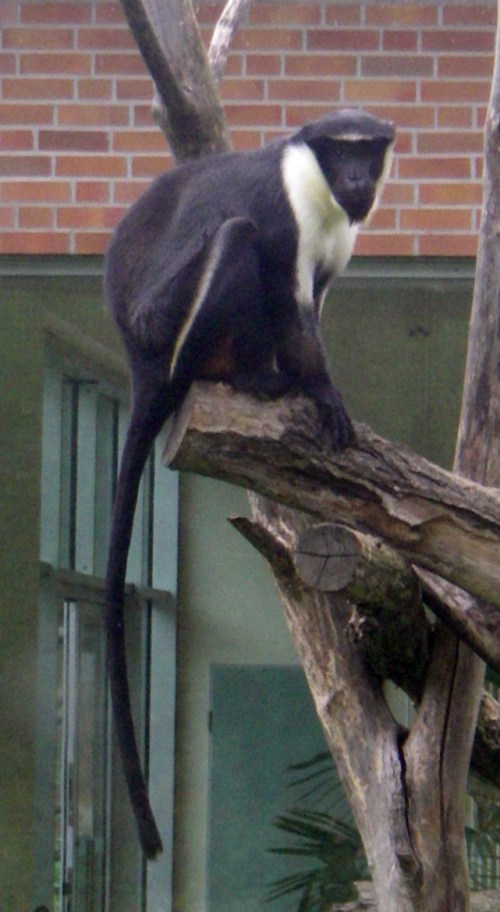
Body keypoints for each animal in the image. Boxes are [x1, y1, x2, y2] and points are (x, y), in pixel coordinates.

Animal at [104, 108, 395, 859]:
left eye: (367, 151)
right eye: (339, 153)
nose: (357, 178)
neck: (318, 187)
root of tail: (138, 360)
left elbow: (311, 307)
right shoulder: (285, 209)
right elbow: (291, 306)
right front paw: (322, 395)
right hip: (173, 328)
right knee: (238, 239)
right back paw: (254, 379)